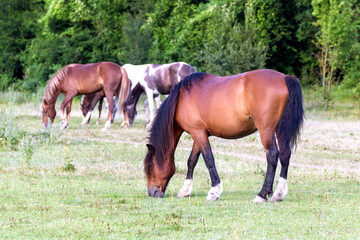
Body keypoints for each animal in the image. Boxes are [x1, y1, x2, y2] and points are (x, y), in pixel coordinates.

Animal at [143, 69, 304, 202]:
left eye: (150, 168)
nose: (151, 192)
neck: (181, 99)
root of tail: (284, 78)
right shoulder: (199, 134)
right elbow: (192, 161)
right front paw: (185, 190)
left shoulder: (198, 132)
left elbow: (209, 159)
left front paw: (214, 191)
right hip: (280, 130)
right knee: (285, 155)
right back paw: (278, 194)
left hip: (266, 129)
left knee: (272, 155)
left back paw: (262, 194)